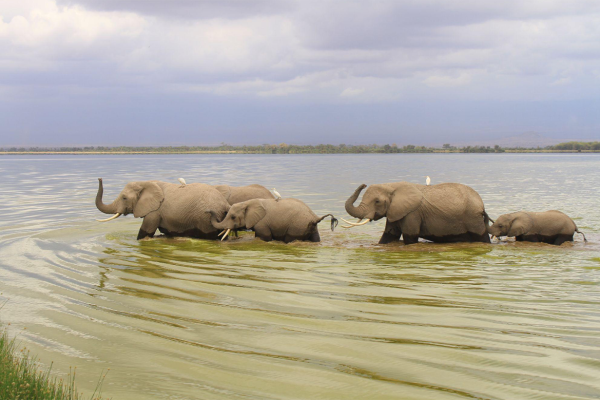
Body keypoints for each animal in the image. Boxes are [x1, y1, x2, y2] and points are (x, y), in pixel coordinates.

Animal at [96, 179, 230, 241]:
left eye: (124, 198)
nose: (99, 178)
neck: (145, 183)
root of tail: (226, 204)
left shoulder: (154, 212)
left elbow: (145, 232)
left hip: (205, 218)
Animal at [206, 198, 338, 242]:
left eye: (233, 217)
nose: (207, 211)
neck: (247, 203)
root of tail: (315, 218)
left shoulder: (262, 224)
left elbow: (265, 238)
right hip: (312, 228)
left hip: (297, 227)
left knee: (289, 239)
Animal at [342, 181, 492, 244]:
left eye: (377, 201)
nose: (364, 185)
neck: (391, 186)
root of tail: (481, 205)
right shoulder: (395, 211)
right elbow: (389, 236)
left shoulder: (412, 213)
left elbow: (410, 238)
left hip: (472, 218)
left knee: (482, 237)